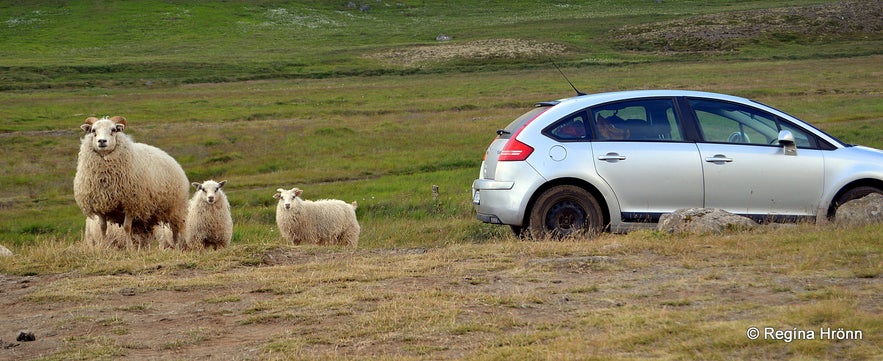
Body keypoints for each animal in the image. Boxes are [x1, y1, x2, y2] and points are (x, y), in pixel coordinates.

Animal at [74, 115, 190, 248]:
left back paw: (176, 246)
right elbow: (102, 227)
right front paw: (104, 246)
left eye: (114, 130)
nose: (102, 141)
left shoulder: (131, 204)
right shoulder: (100, 205)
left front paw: (129, 247)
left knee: (175, 229)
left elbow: (126, 227)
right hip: (147, 216)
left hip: (176, 208)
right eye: (93, 130)